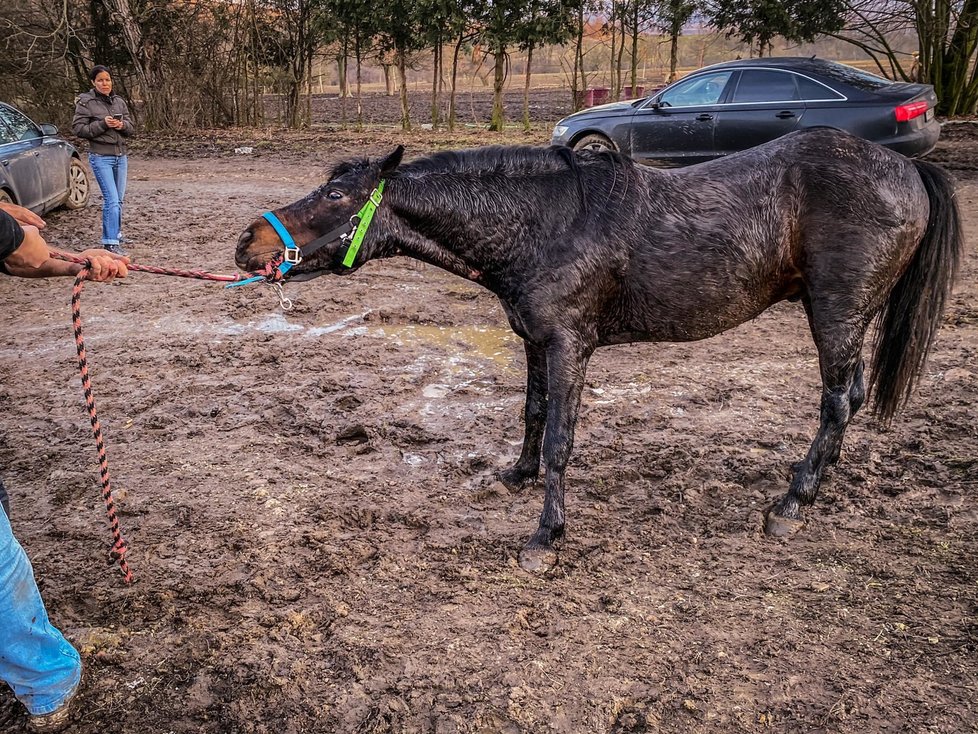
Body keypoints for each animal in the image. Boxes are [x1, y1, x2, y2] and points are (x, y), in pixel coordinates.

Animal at [236, 129, 960, 572]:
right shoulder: (535, 340)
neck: (546, 222)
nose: (248, 244)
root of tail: (907, 166)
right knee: (851, 398)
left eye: (337, 194)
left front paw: (545, 536)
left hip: (836, 314)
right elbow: (532, 415)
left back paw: (791, 505)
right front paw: (518, 475)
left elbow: (561, 437)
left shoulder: (569, 346)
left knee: (836, 401)